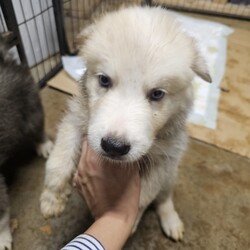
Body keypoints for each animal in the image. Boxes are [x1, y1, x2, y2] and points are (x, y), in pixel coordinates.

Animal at [40, 5, 211, 240]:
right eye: (104, 80)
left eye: (157, 94)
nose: (114, 146)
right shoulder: (76, 120)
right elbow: (58, 163)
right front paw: (51, 199)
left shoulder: (165, 159)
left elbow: (143, 197)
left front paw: (129, 221)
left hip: (171, 175)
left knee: (165, 198)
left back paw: (171, 221)